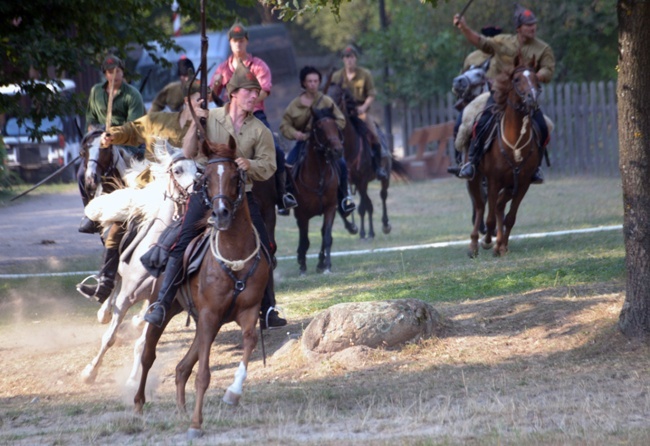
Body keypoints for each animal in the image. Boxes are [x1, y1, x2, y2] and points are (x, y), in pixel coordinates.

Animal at [78, 142, 196, 384]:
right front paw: (90, 372)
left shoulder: (158, 304)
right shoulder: (126, 298)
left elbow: (143, 343)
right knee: (112, 283)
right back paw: (103, 308)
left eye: (199, 170)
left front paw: (133, 379)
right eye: (178, 170)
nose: (198, 188)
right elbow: (109, 337)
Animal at [133, 137, 270, 440]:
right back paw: (138, 405)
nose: (220, 214)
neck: (234, 257)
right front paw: (196, 425)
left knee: (182, 367)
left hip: (206, 323)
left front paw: (232, 394)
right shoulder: (209, 316)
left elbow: (249, 342)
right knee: (148, 356)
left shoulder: (246, 312)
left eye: (235, 177)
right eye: (205, 178)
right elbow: (204, 375)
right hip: (166, 310)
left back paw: (181, 410)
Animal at [290, 106, 344, 274]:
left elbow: (326, 236)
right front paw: (302, 264)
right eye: (319, 128)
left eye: (335, 126)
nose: (337, 150)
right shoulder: (301, 214)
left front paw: (326, 265)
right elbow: (304, 240)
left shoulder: (330, 208)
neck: (318, 177)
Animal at [326, 82, 408, 239]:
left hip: (384, 178)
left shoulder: (362, 180)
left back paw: (383, 226)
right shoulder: (346, 183)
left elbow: (363, 207)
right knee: (369, 204)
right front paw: (353, 228)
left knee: (382, 196)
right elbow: (345, 207)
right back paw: (370, 232)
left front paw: (363, 232)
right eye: (326, 94)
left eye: (339, 96)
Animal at [466, 55, 540, 258]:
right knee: (481, 207)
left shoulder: (523, 184)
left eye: (536, 78)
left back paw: (500, 244)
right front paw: (487, 242)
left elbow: (510, 218)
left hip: (509, 186)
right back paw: (474, 244)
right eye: (516, 79)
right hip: (475, 179)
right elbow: (489, 218)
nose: (532, 98)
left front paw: (501, 245)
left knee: (499, 207)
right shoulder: (493, 181)